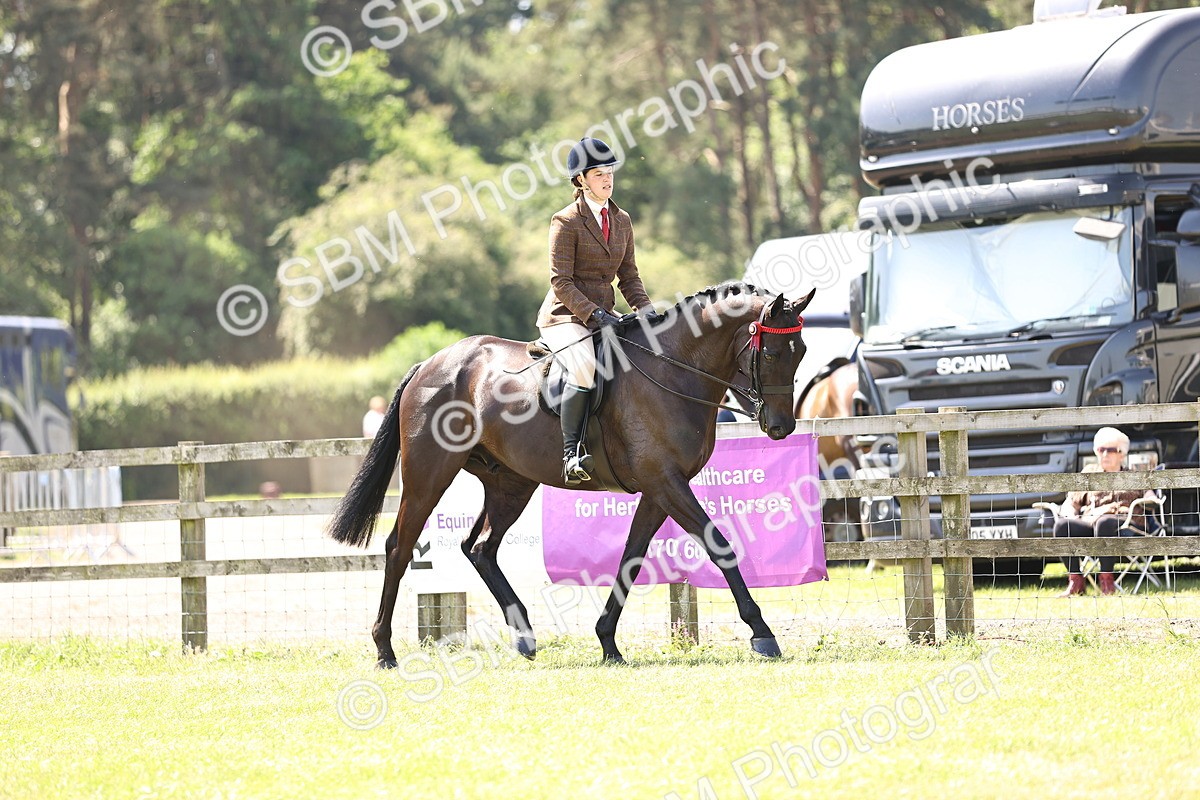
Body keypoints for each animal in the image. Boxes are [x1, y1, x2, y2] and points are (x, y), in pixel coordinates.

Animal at [325, 282, 816, 666]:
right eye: (772, 351)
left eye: (802, 352)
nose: (780, 427)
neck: (673, 370)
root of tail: (429, 365)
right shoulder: (666, 483)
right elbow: (719, 545)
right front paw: (762, 634)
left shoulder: (659, 489)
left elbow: (631, 559)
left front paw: (608, 643)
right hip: (429, 475)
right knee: (399, 548)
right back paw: (385, 651)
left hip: (511, 483)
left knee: (480, 548)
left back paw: (524, 637)